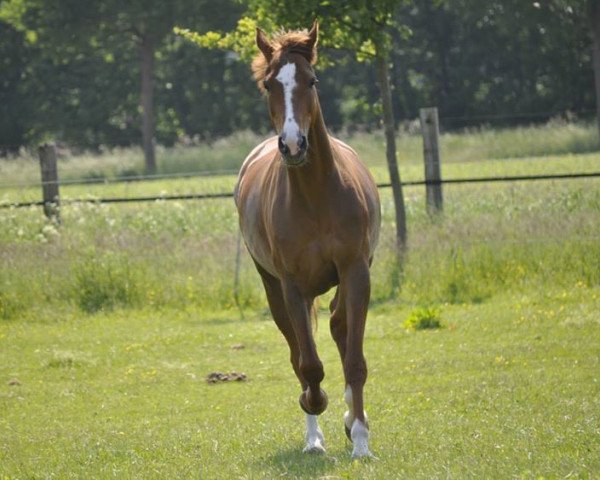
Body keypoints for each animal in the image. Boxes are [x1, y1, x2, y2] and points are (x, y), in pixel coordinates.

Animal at [233, 21, 380, 458]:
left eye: (311, 81)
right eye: (269, 84)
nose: (293, 144)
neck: (316, 195)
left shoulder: (356, 272)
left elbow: (355, 360)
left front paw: (360, 438)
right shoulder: (292, 286)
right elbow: (309, 365)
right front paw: (315, 411)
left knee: (338, 327)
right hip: (274, 290)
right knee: (299, 351)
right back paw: (314, 435)